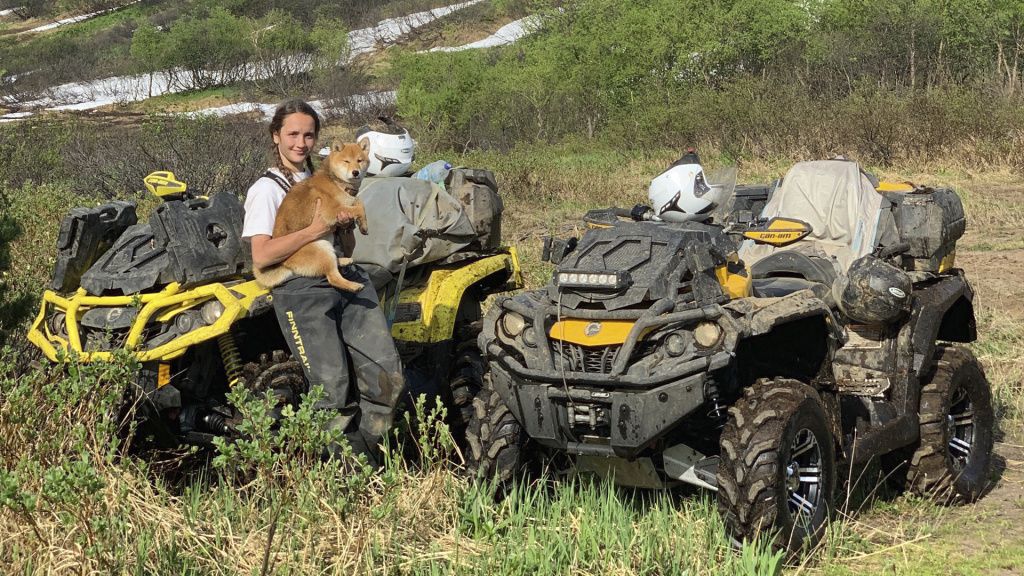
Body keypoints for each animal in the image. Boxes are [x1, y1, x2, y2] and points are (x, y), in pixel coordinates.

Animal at [253, 139, 370, 291]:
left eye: (359, 160)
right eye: (346, 161)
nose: (355, 172)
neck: (335, 181)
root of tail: (285, 264)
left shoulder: (349, 200)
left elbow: (359, 204)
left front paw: (363, 226)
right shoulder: (330, 211)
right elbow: (359, 208)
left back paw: (343, 260)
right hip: (321, 247)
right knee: (332, 277)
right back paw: (353, 285)